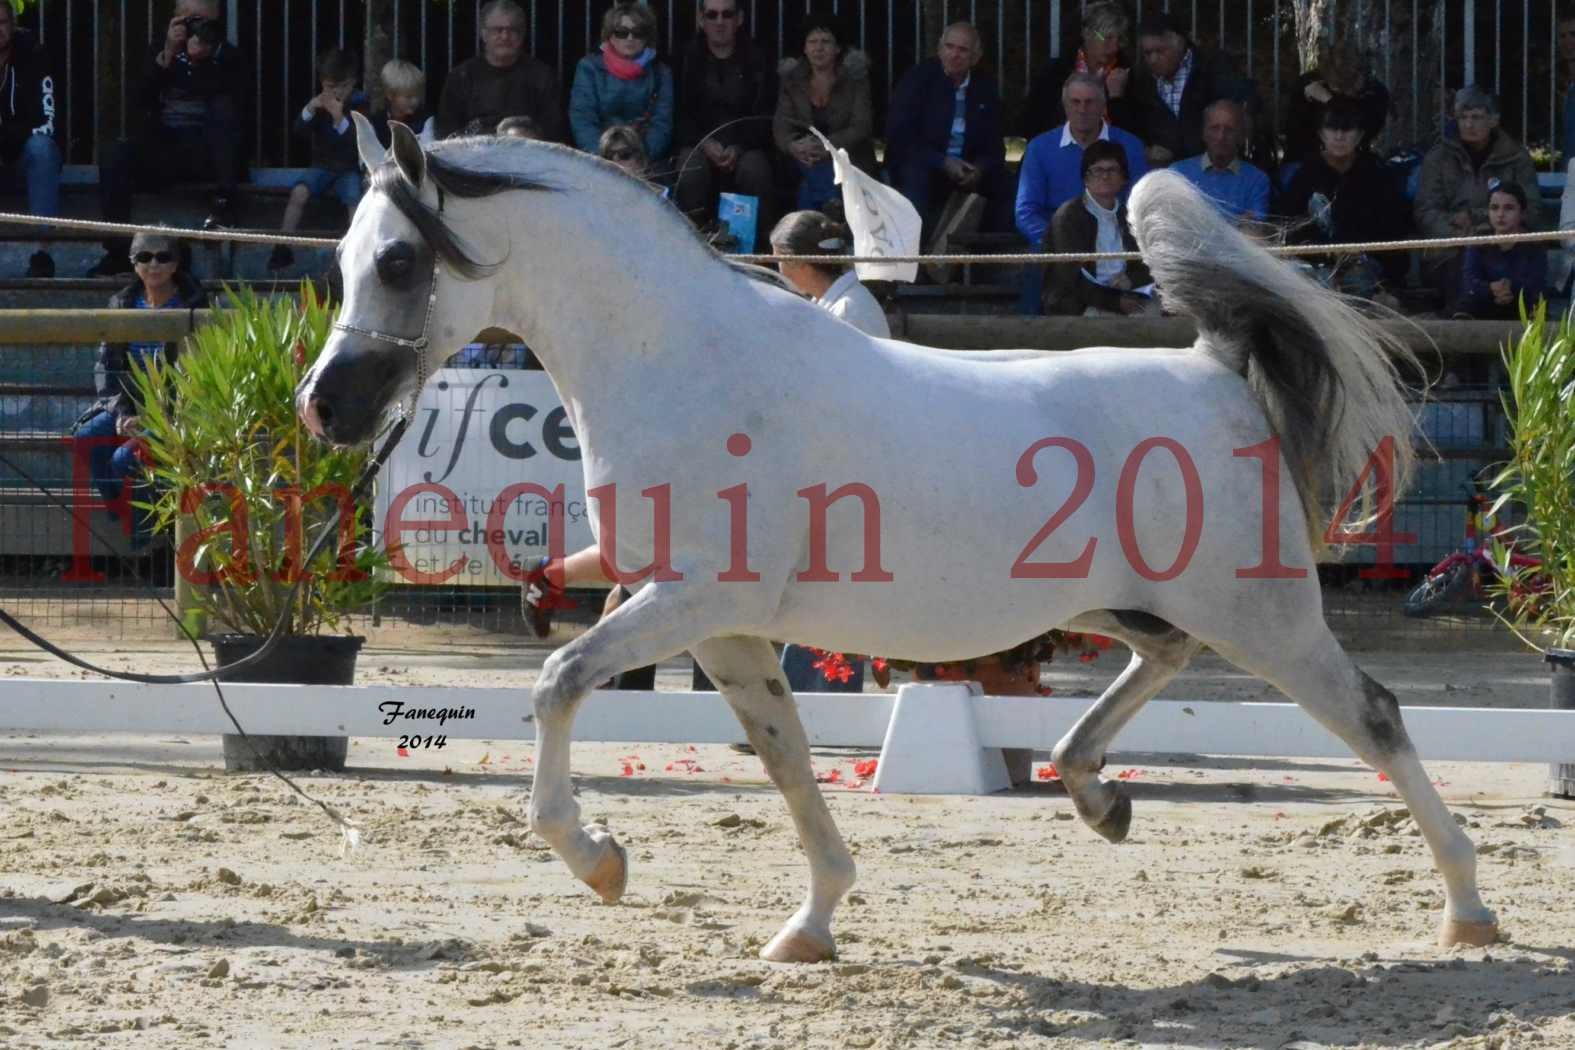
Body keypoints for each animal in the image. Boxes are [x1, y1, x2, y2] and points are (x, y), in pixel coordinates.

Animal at [297, 118, 1499, 963]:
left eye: (399, 261)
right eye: (346, 256)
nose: (325, 407)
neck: (682, 360)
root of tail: (1213, 369)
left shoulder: (690, 602)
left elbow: (554, 686)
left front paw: (600, 862)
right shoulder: (723, 631)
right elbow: (785, 761)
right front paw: (810, 925)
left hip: (1265, 615)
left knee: (1374, 716)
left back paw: (1468, 911)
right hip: (1126, 602)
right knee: (1159, 662)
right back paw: (1094, 792)